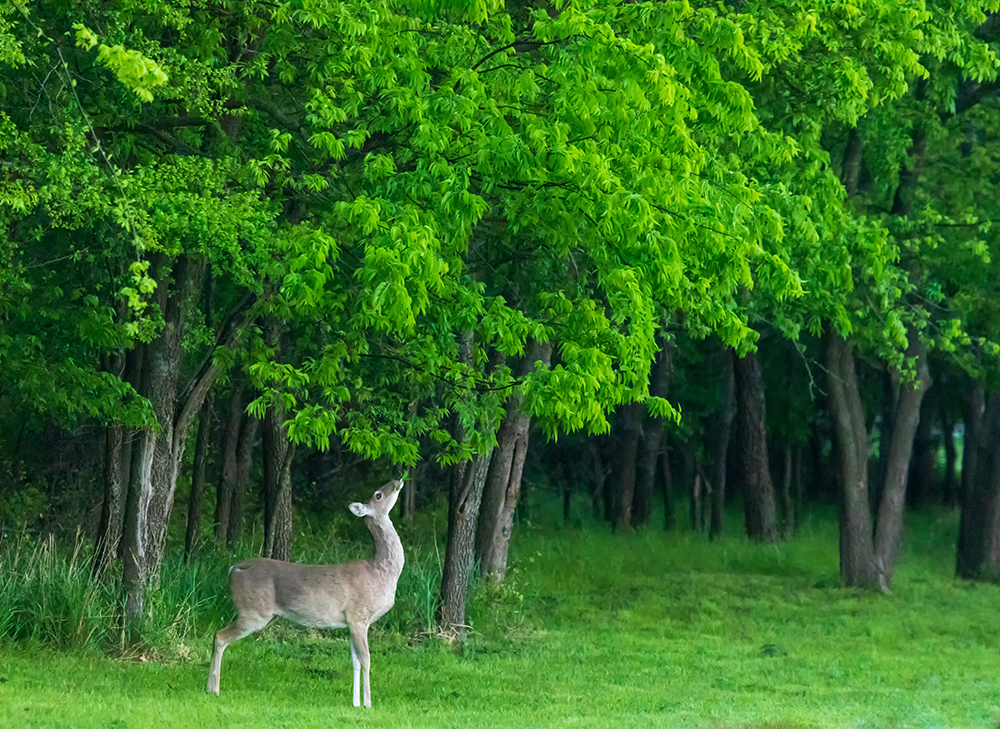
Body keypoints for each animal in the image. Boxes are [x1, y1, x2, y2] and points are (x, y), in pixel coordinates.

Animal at [205, 478, 404, 704]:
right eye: (378, 494)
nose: (398, 479)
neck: (380, 573)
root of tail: (234, 569)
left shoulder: (351, 622)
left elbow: (354, 661)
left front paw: (355, 703)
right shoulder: (358, 615)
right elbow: (366, 660)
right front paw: (368, 703)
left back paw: (209, 688)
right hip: (253, 611)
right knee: (220, 636)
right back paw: (214, 689)